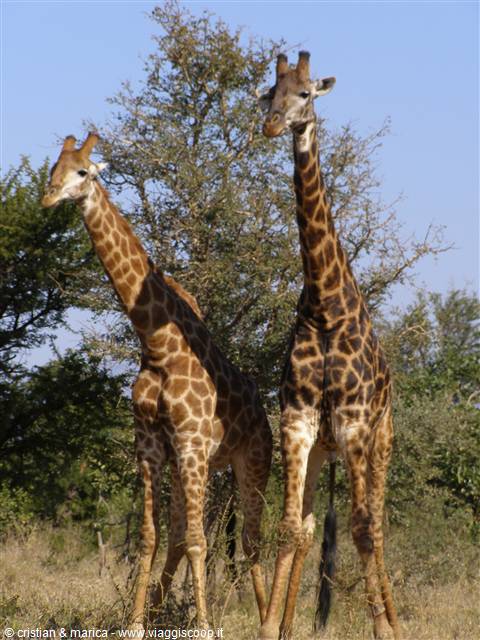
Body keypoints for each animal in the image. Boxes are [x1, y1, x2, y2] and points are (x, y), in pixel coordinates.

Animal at [42, 133, 272, 631]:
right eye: (53, 169)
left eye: (83, 171)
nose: (49, 197)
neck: (158, 345)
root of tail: (265, 412)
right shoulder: (149, 445)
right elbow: (152, 537)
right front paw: (135, 624)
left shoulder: (191, 444)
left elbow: (201, 541)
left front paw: (203, 628)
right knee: (183, 535)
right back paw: (164, 608)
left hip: (253, 460)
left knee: (250, 540)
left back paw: (271, 623)